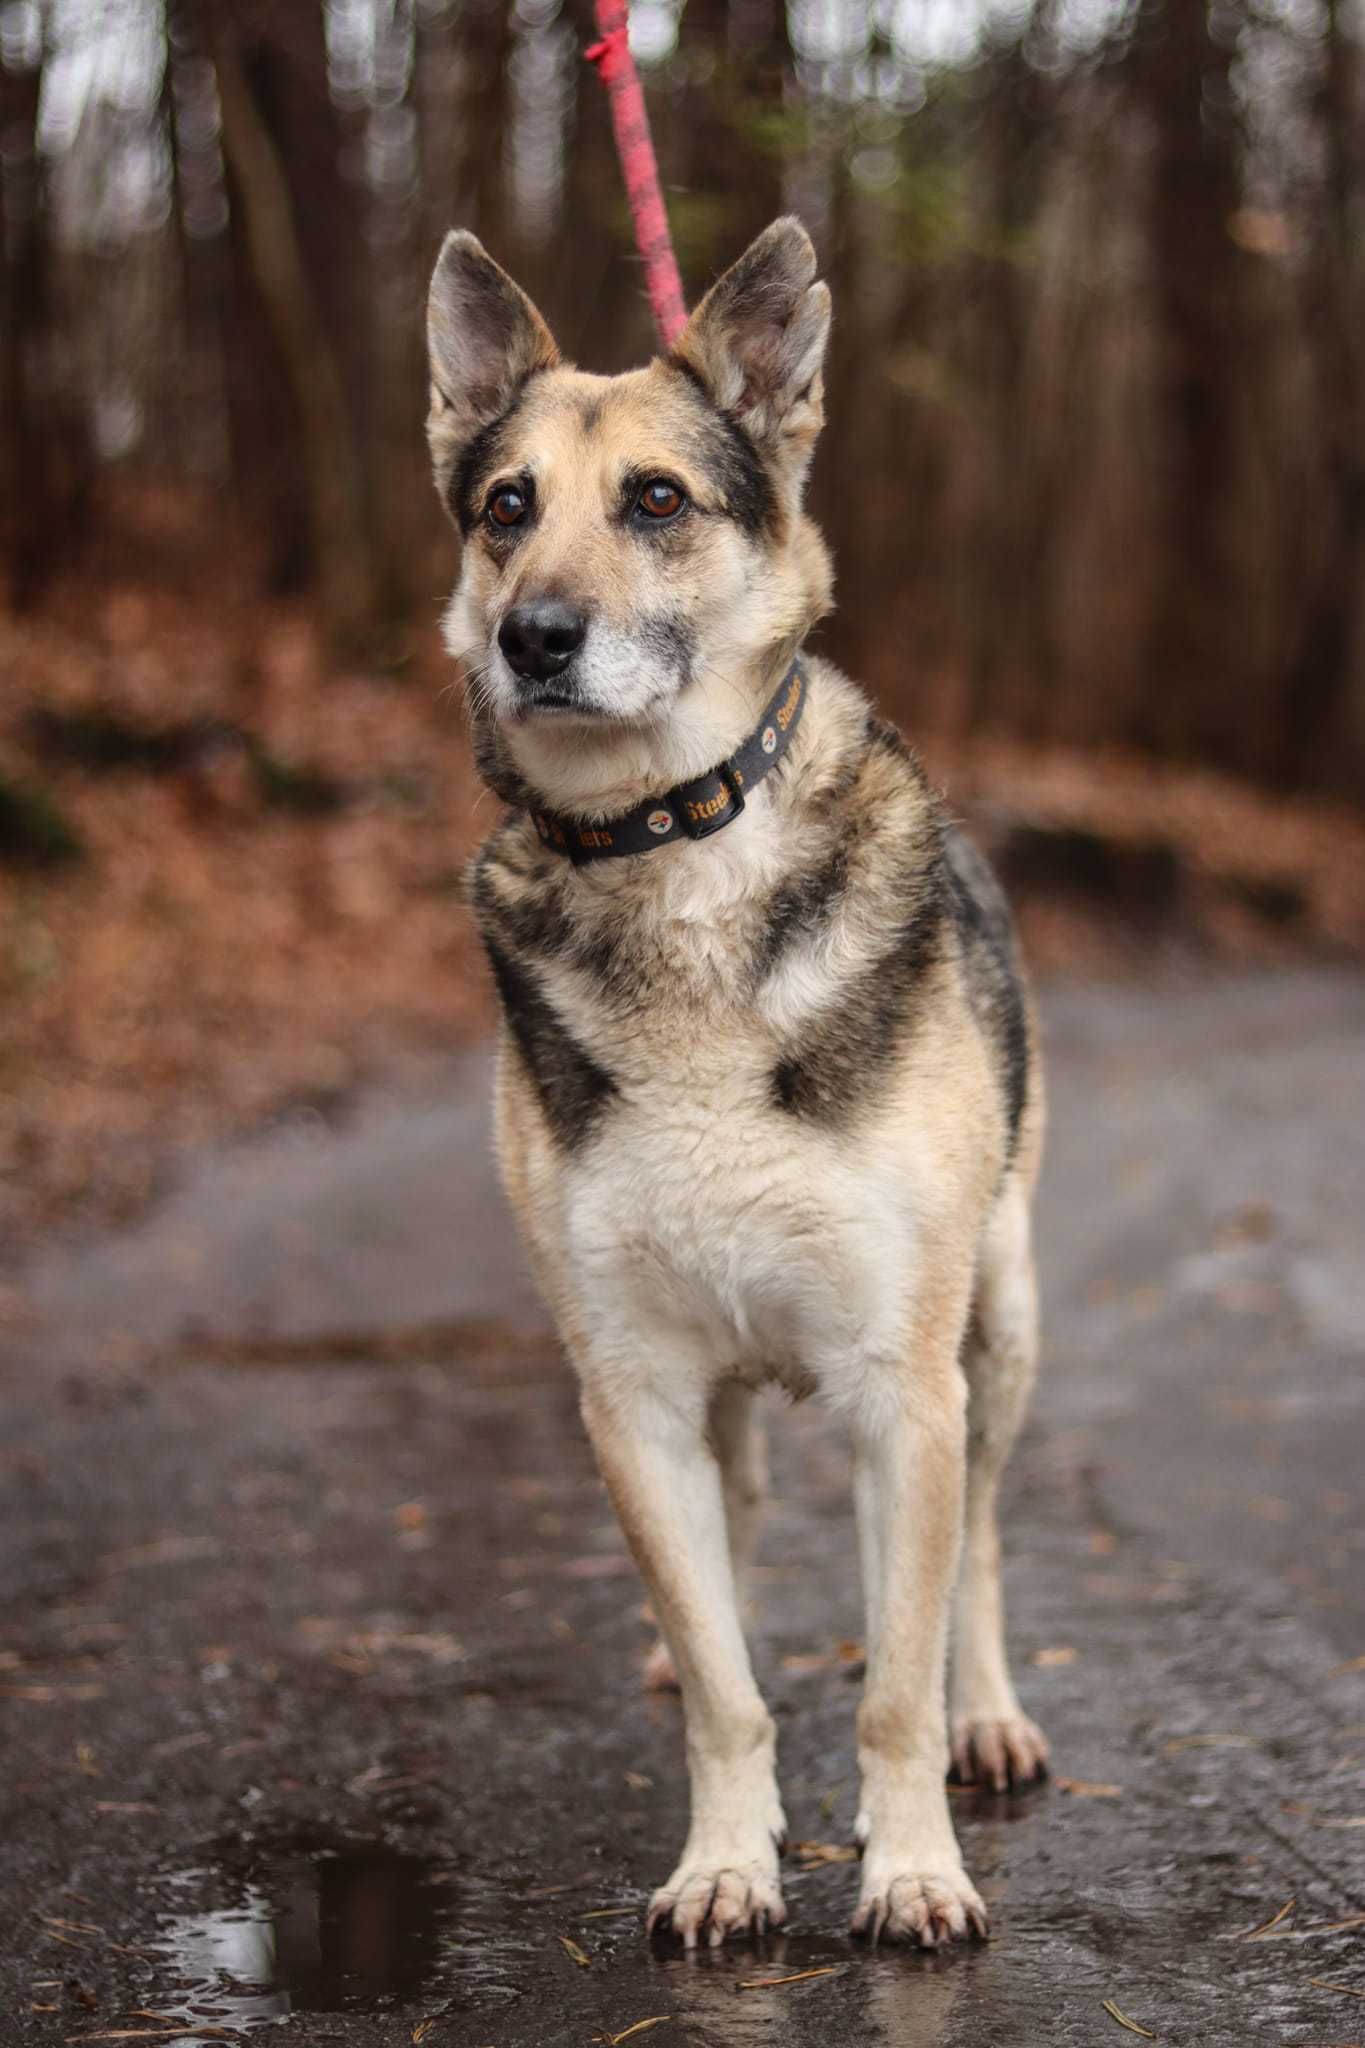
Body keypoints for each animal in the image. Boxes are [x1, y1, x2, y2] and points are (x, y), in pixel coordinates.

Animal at [423, 220, 1047, 1949]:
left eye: (656, 499)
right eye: (506, 509)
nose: (534, 639)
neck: (670, 842)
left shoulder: (903, 1387)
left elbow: (891, 1677)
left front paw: (910, 1871)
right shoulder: (629, 1389)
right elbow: (721, 1679)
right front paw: (725, 1860)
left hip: (1000, 1326)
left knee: (977, 1554)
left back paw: (989, 1717)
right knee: (738, 1536)